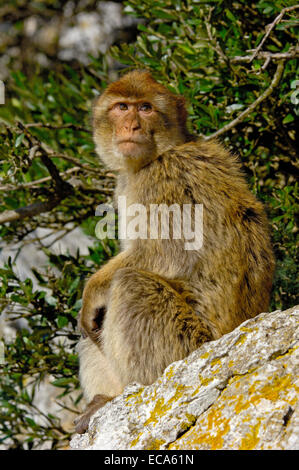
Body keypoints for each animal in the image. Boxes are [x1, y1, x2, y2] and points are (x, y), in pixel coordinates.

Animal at [74, 70, 276, 434]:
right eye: (122, 107)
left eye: (146, 108)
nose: (131, 126)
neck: (155, 157)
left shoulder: (165, 180)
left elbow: (167, 253)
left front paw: (92, 289)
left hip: (187, 347)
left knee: (130, 286)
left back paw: (130, 392)